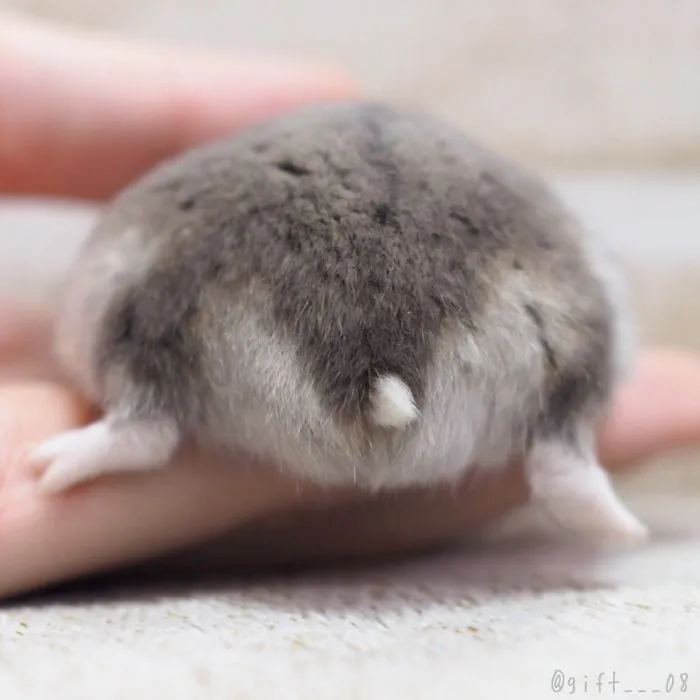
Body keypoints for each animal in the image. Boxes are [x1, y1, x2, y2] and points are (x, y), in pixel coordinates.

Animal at [30, 100, 646, 542]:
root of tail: (374, 361)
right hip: (580, 335)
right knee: (563, 462)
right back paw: (625, 531)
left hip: (130, 310)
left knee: (148, 425)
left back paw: (47, 468)